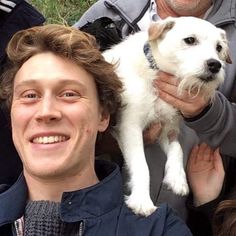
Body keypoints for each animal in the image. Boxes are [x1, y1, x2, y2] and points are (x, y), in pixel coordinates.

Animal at [102, 16, 231, 216]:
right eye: (190, 40)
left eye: (218, 47)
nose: (215, 65)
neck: (154, 72)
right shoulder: (130, 128)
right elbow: (141, 165)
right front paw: (141, 200)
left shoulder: (167, 127)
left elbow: (177, 149)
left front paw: (177, 178)